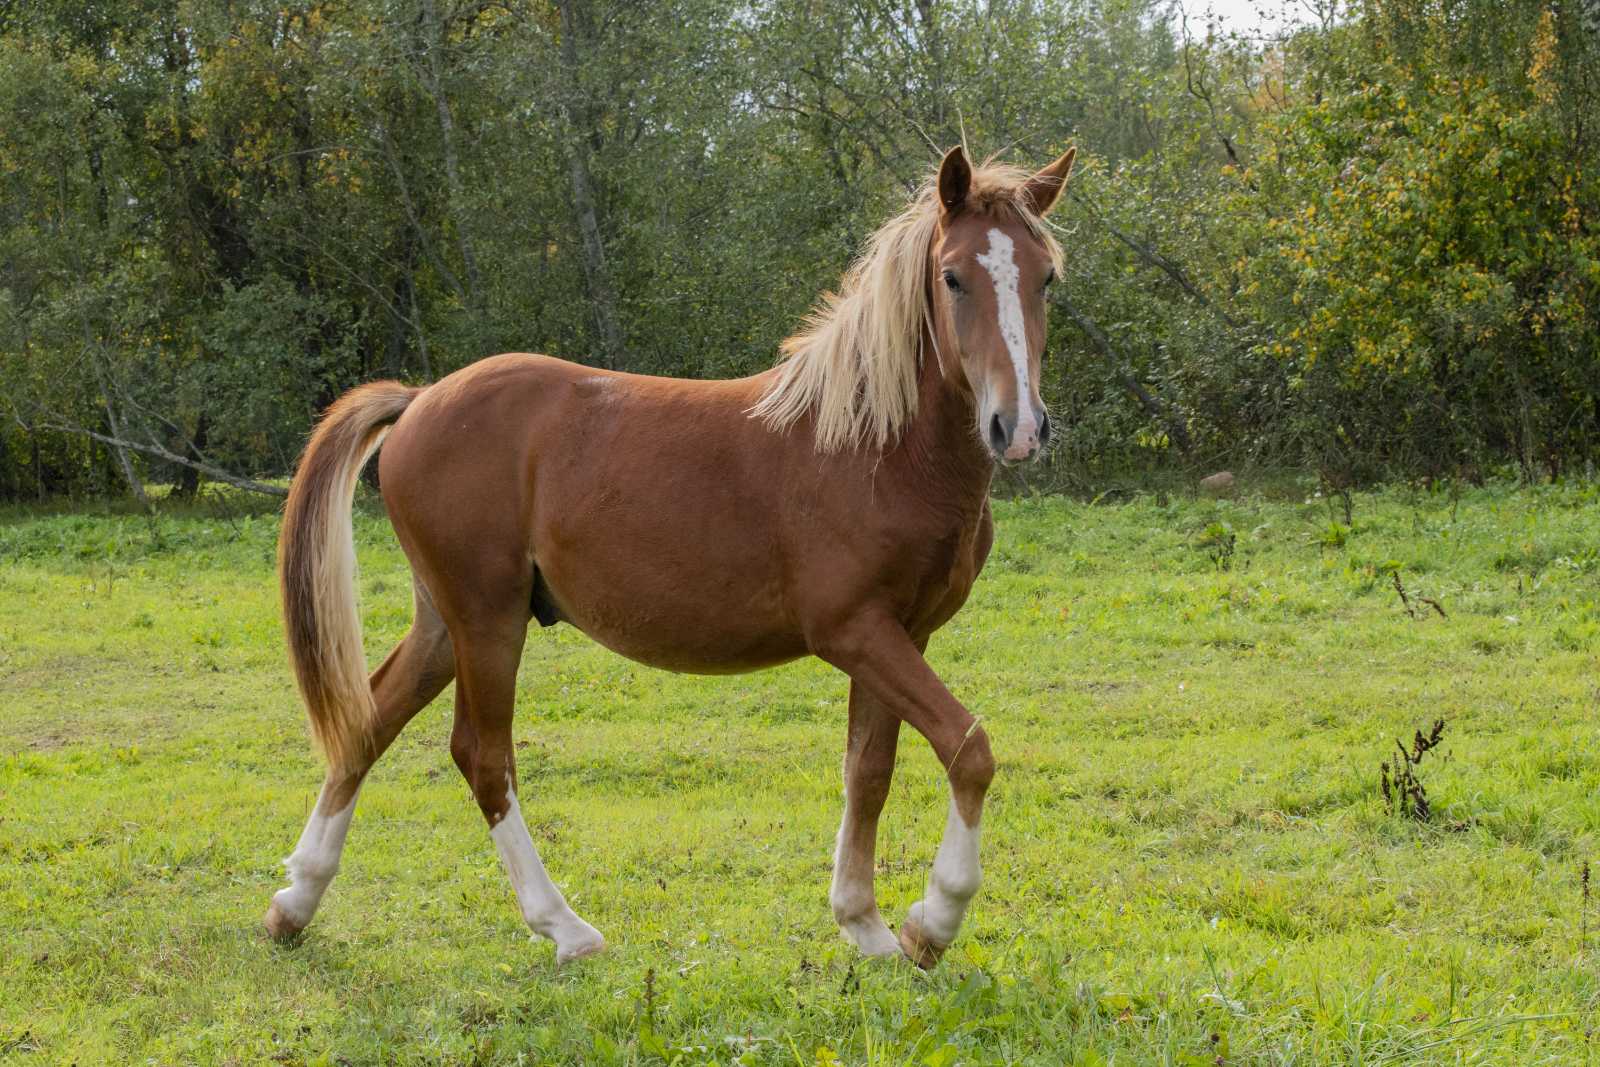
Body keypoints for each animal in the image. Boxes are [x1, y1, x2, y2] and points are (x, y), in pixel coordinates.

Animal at [266, 143, 1076, 968]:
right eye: (952, 276)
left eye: (1046, 276)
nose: (1018, 427)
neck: (875, 449)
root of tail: (420, 398)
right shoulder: (855, 632)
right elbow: (968, 748)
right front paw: (931, 921)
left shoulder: (904, 634)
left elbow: (869, 771)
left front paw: (868, 926)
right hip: (488, 620)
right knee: (483, 757)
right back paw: (564, 925)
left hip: (445, 622)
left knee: (367, 723)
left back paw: (295, 901)